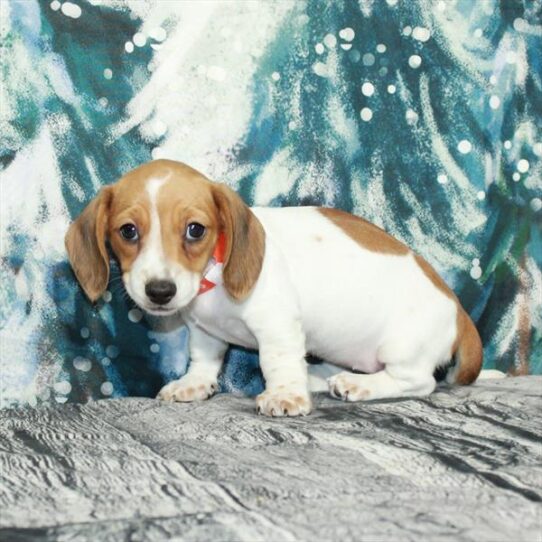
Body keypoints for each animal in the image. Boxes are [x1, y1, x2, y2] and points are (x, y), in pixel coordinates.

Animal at [65, 159, 484, 418]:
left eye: (195, 230)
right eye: (128, 231)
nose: (160, 291)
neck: (214, 277)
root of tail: (459, 313)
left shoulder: (276, 326)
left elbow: (276, 362)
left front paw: (284, 394)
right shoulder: (203, 333)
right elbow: (203, 361)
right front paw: (193, 384)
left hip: (402, 349)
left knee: (418, 382)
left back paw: (357, 385)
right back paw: (319, 379)